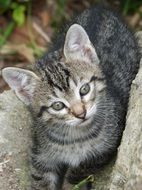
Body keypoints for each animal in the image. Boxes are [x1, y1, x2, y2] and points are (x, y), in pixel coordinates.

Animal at [1, 4, 140, 190]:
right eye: (57, 105)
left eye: (84, 89)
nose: (81, 114)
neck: (75, 138)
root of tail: (99, 7)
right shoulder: (40, 154)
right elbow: (41, 179)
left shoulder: (107, 146)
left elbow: (80, 170)